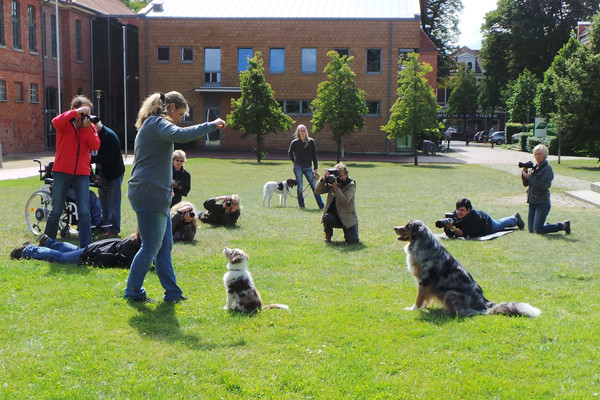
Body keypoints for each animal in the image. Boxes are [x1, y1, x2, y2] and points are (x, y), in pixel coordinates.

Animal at [396, 219, 540, 318]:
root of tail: (485, 305)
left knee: (465, 312)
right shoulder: (427, 284)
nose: (395, 227)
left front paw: (413, 309)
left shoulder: (424, 280)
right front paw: (424, 307)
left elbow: (419, 297)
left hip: (450, 293)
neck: (422, 244)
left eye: (407, 226)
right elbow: (425, 298)